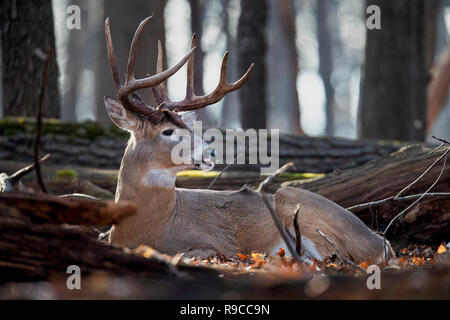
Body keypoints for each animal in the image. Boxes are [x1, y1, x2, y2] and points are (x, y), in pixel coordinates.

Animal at [103, 16, 392, 264]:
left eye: (188, 125)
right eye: (168, 131)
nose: (210, 153)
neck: (147, 227)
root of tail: (381, 243)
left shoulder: (216, 244)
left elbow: (189, 253)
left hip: (297, 203)